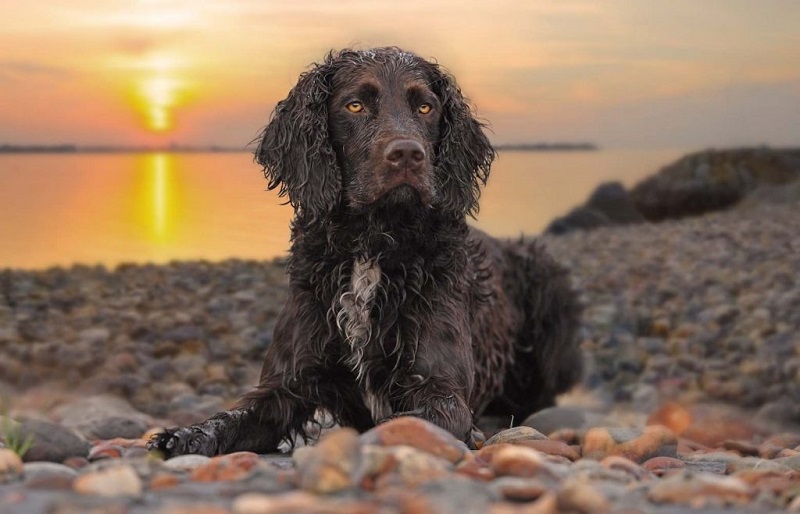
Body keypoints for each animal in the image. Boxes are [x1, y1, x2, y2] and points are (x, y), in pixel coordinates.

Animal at [148, 49, 580, 456]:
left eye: (426, 107)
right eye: (354, 105)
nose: (407, 154)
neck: (371, 246)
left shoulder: (442, 390)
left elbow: (406, 421)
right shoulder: (287, 383)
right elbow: (234, 416)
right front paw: (184, 436)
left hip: (548, 277)